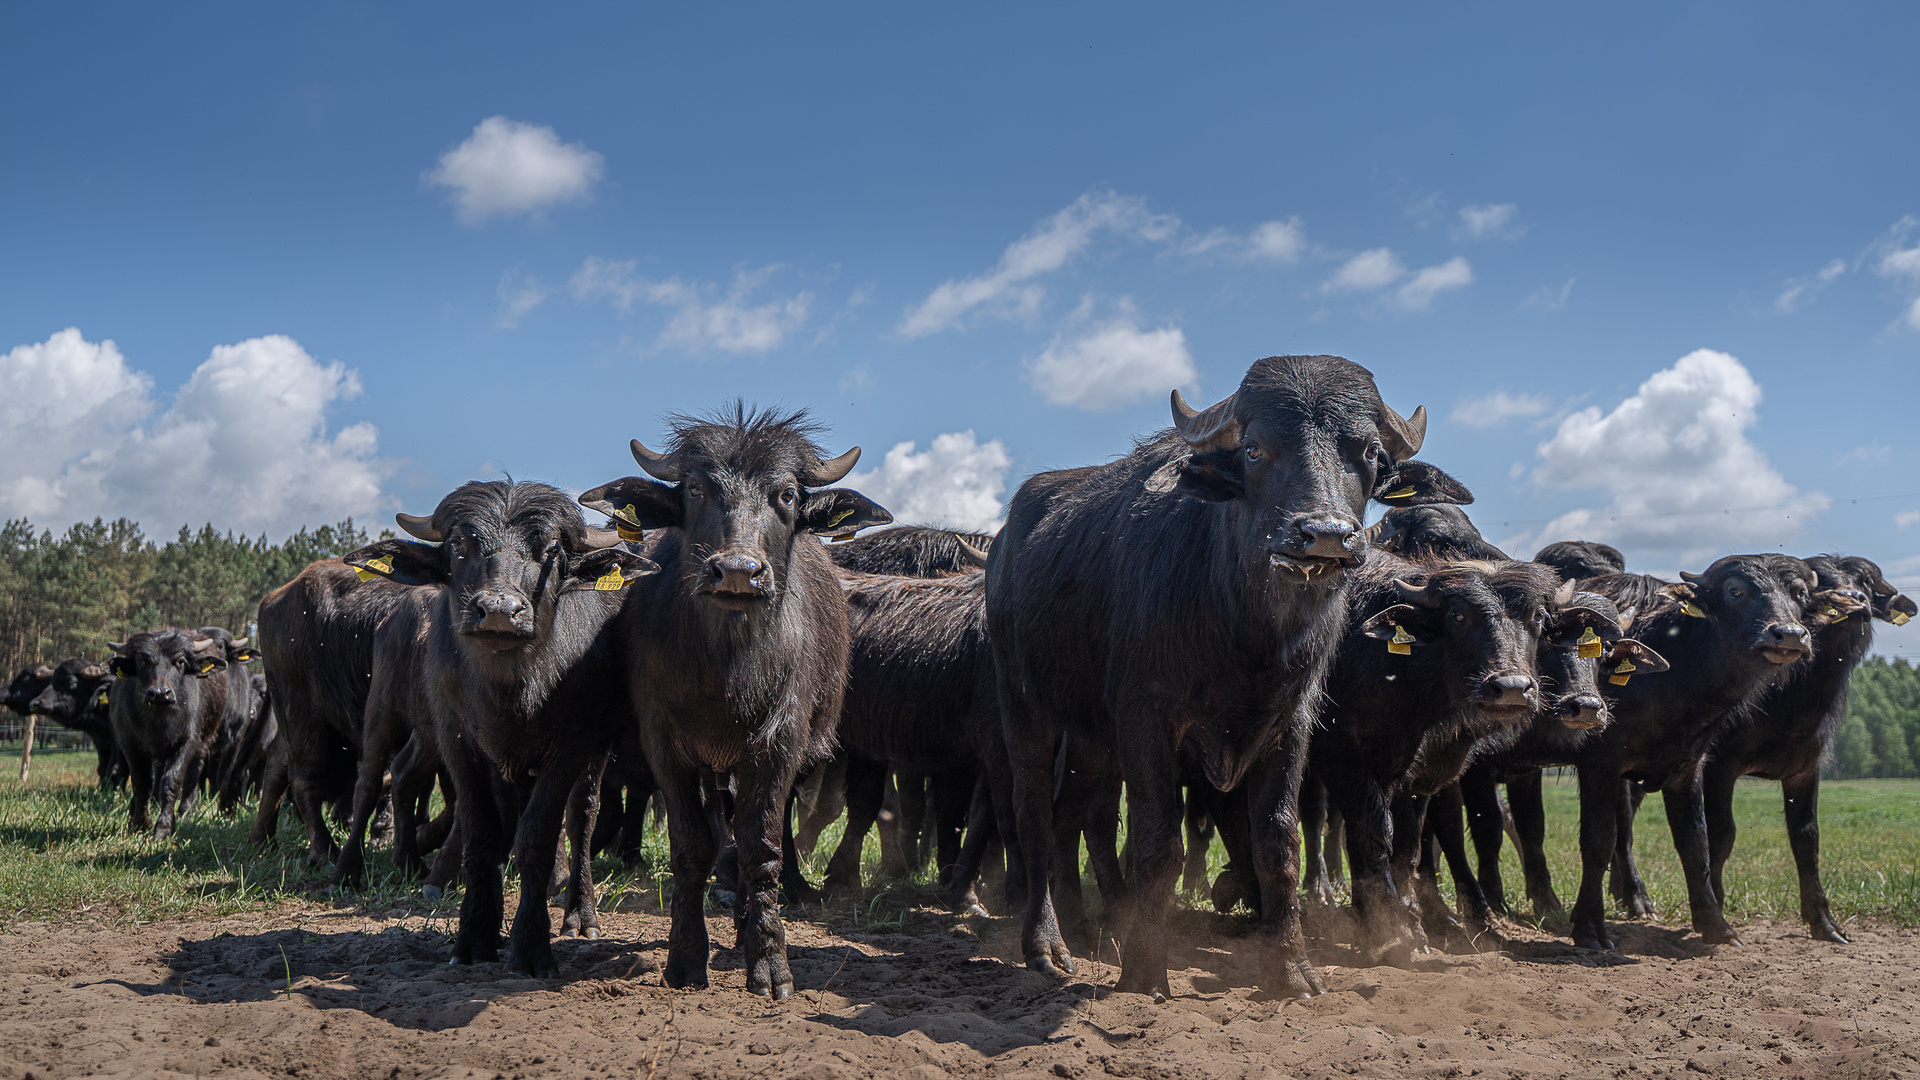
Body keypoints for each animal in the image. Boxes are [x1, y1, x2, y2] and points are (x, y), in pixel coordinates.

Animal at [353, 478, 660, 976]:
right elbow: (481, 830)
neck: (509, 691)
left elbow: (538, 834)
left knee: (583, 816)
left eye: (552, 550)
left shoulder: (572, 745)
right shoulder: (459, 741)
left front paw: (531, 946)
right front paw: (475, 936)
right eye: (459, 545)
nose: (499, 610)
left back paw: (580, 914)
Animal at [576, 403, 890, 991]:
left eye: (786, 494)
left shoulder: (780, 742)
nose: (738, 572)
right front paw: (685, 957)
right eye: (697, 489)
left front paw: (768, 960)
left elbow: (760, 846)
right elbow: (691, 846)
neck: (725, 669)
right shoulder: (665, 744)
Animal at [983, 353, 1459, 991]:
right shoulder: (1146, 718)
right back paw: (1046, 944)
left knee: (1070, 817)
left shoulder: (1292, 722)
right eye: (1255, 449)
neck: (1245, 631)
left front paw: (1291, 971)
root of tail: (1005, 540)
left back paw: (1089, 931)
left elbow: (1278, 841)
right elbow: (1158, 842)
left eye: (1368, 453)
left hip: (1090, 737)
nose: (1326, 536)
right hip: (1022, 703)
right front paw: (1144, 971)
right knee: (1033, 813)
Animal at [1566, 549, 1820, 945]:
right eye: (1735, 591)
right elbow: (1598, 839)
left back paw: (1636, 898)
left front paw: (1715, 923)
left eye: (1799, 593)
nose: (1789, 635)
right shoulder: (1599, 761)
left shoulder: (1687, 766)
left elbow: (1695, 842)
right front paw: (1588, 926)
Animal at [1704, 557, 1912, 937]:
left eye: (1865, 583)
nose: (1854, 600)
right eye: (1822, 585)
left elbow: (1807, 838)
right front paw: (1716, 913)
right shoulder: (1717, 766)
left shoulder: (1804, 770)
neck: (1790, 697)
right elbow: (1721, 836)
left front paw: (1824, 921)